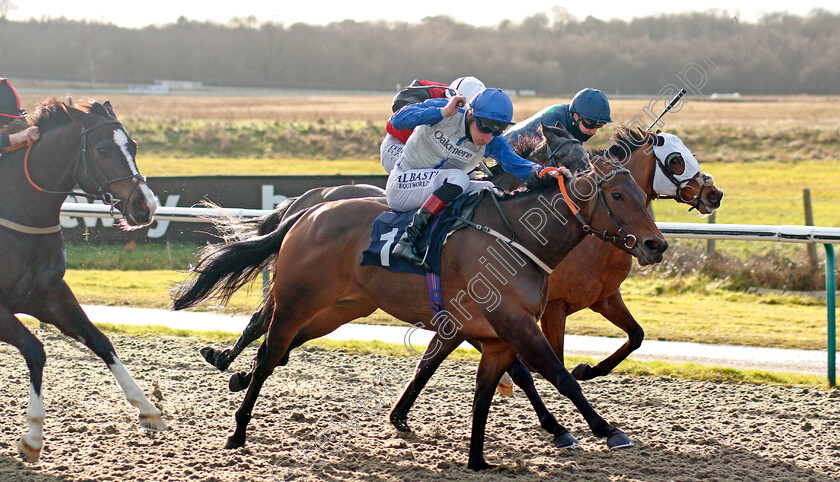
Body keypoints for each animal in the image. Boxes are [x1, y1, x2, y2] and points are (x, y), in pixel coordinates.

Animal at [0, 96, 166, 462]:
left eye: (133, 145)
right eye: (102, 150)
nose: (146, 205)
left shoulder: (48, 296)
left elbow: (100, 340)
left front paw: (147, 407)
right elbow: (35, 349)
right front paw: (33, 436)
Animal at [174, 160, 668, 468]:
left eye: (642, 195)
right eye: (617, 195)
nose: (656, 244)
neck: (517, 239)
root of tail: (309, 211)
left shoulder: (491, 332)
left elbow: (461, 374)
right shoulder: (516, 325)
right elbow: (558, 376)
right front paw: (604, 429)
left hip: (340, 309)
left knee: (278, 350)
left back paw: (234, 377)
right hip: (297, 302)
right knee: (268, 350)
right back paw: (237, 426)